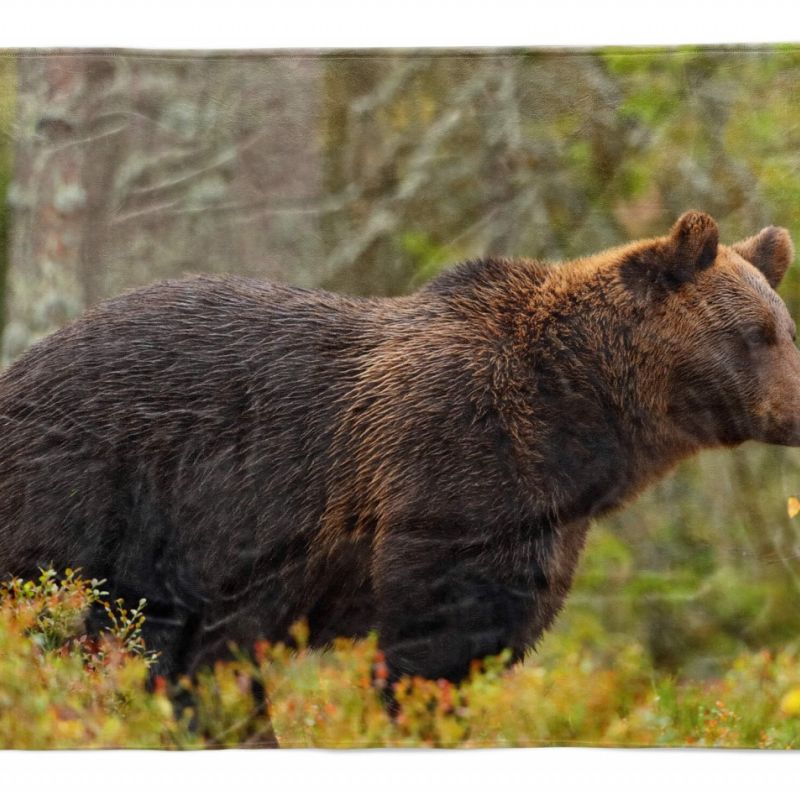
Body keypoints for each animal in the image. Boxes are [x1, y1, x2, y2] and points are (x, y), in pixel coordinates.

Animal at [0, 214, 796, 692]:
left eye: (785, 326)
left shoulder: (547, 527)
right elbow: (436, 635)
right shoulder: (453, 464)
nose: (794, 409)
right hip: (90, 478)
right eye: (756, 333)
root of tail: (26, 361)